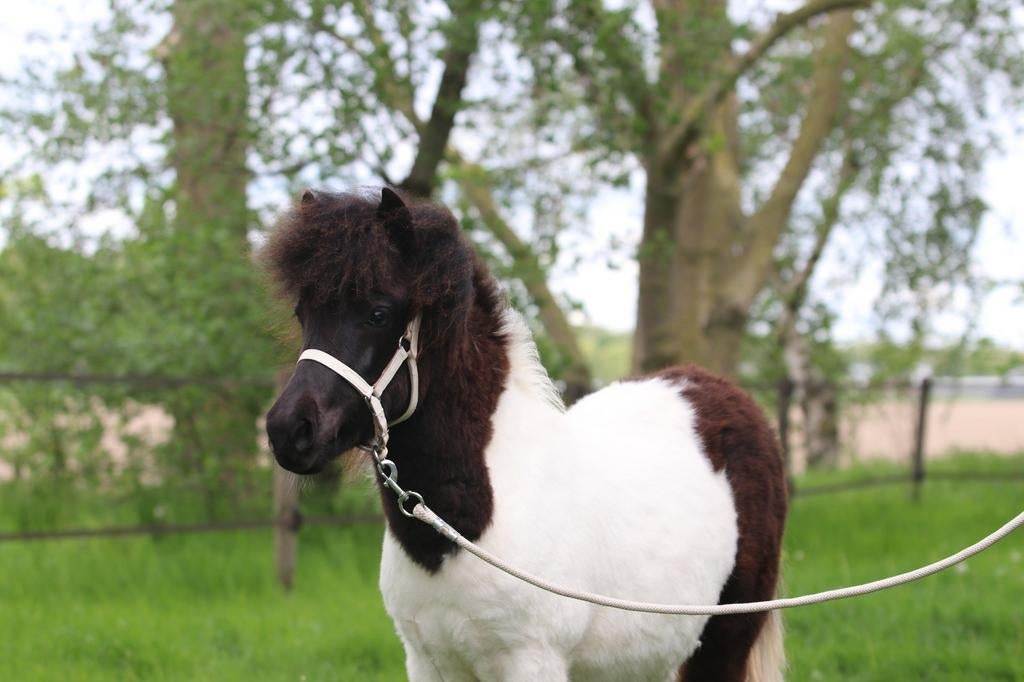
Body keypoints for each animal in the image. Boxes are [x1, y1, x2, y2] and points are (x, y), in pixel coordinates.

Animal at [263, 187, 788, 682]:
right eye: (302, 314)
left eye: (378, 312)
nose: (288, 431)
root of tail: (723, 392)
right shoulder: (427, 662)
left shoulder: (532, 661)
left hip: (727, 636)